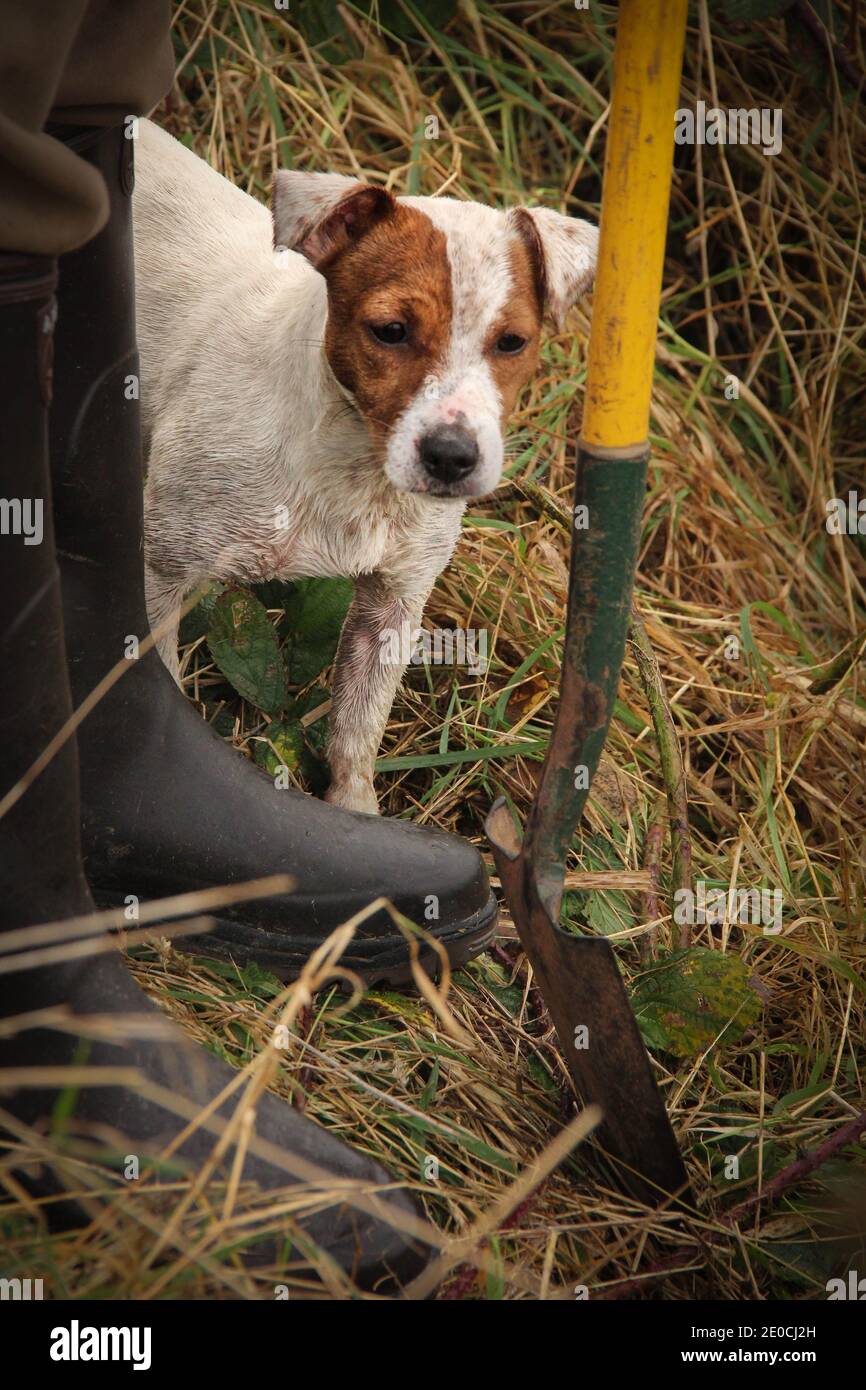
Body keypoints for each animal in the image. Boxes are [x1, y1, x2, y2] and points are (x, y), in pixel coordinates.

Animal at [134, 122, 594, 811]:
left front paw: (354, 810)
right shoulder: (163, 573)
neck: (351, 466)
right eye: (390, 330)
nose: (452, 457)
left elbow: (356, 736)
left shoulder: (394, 605)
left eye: (512, 342)